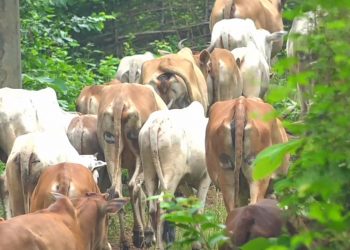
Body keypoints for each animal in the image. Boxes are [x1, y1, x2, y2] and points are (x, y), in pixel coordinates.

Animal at [95, 83, 167, 249]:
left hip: (111, 150)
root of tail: (120, 101)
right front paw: (149, 234)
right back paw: (139, 234)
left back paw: (125, 241)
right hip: (139, 154)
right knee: (133, 186)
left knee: (117, 191)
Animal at [139, 101, 211, 250]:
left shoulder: (184, 183)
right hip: (171, 175)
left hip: (149, 170)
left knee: (152, 205)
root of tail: (156, 123)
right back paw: (161, 245)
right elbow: (199, 208)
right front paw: (199, 243)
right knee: (161, 204)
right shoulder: (206, 177)